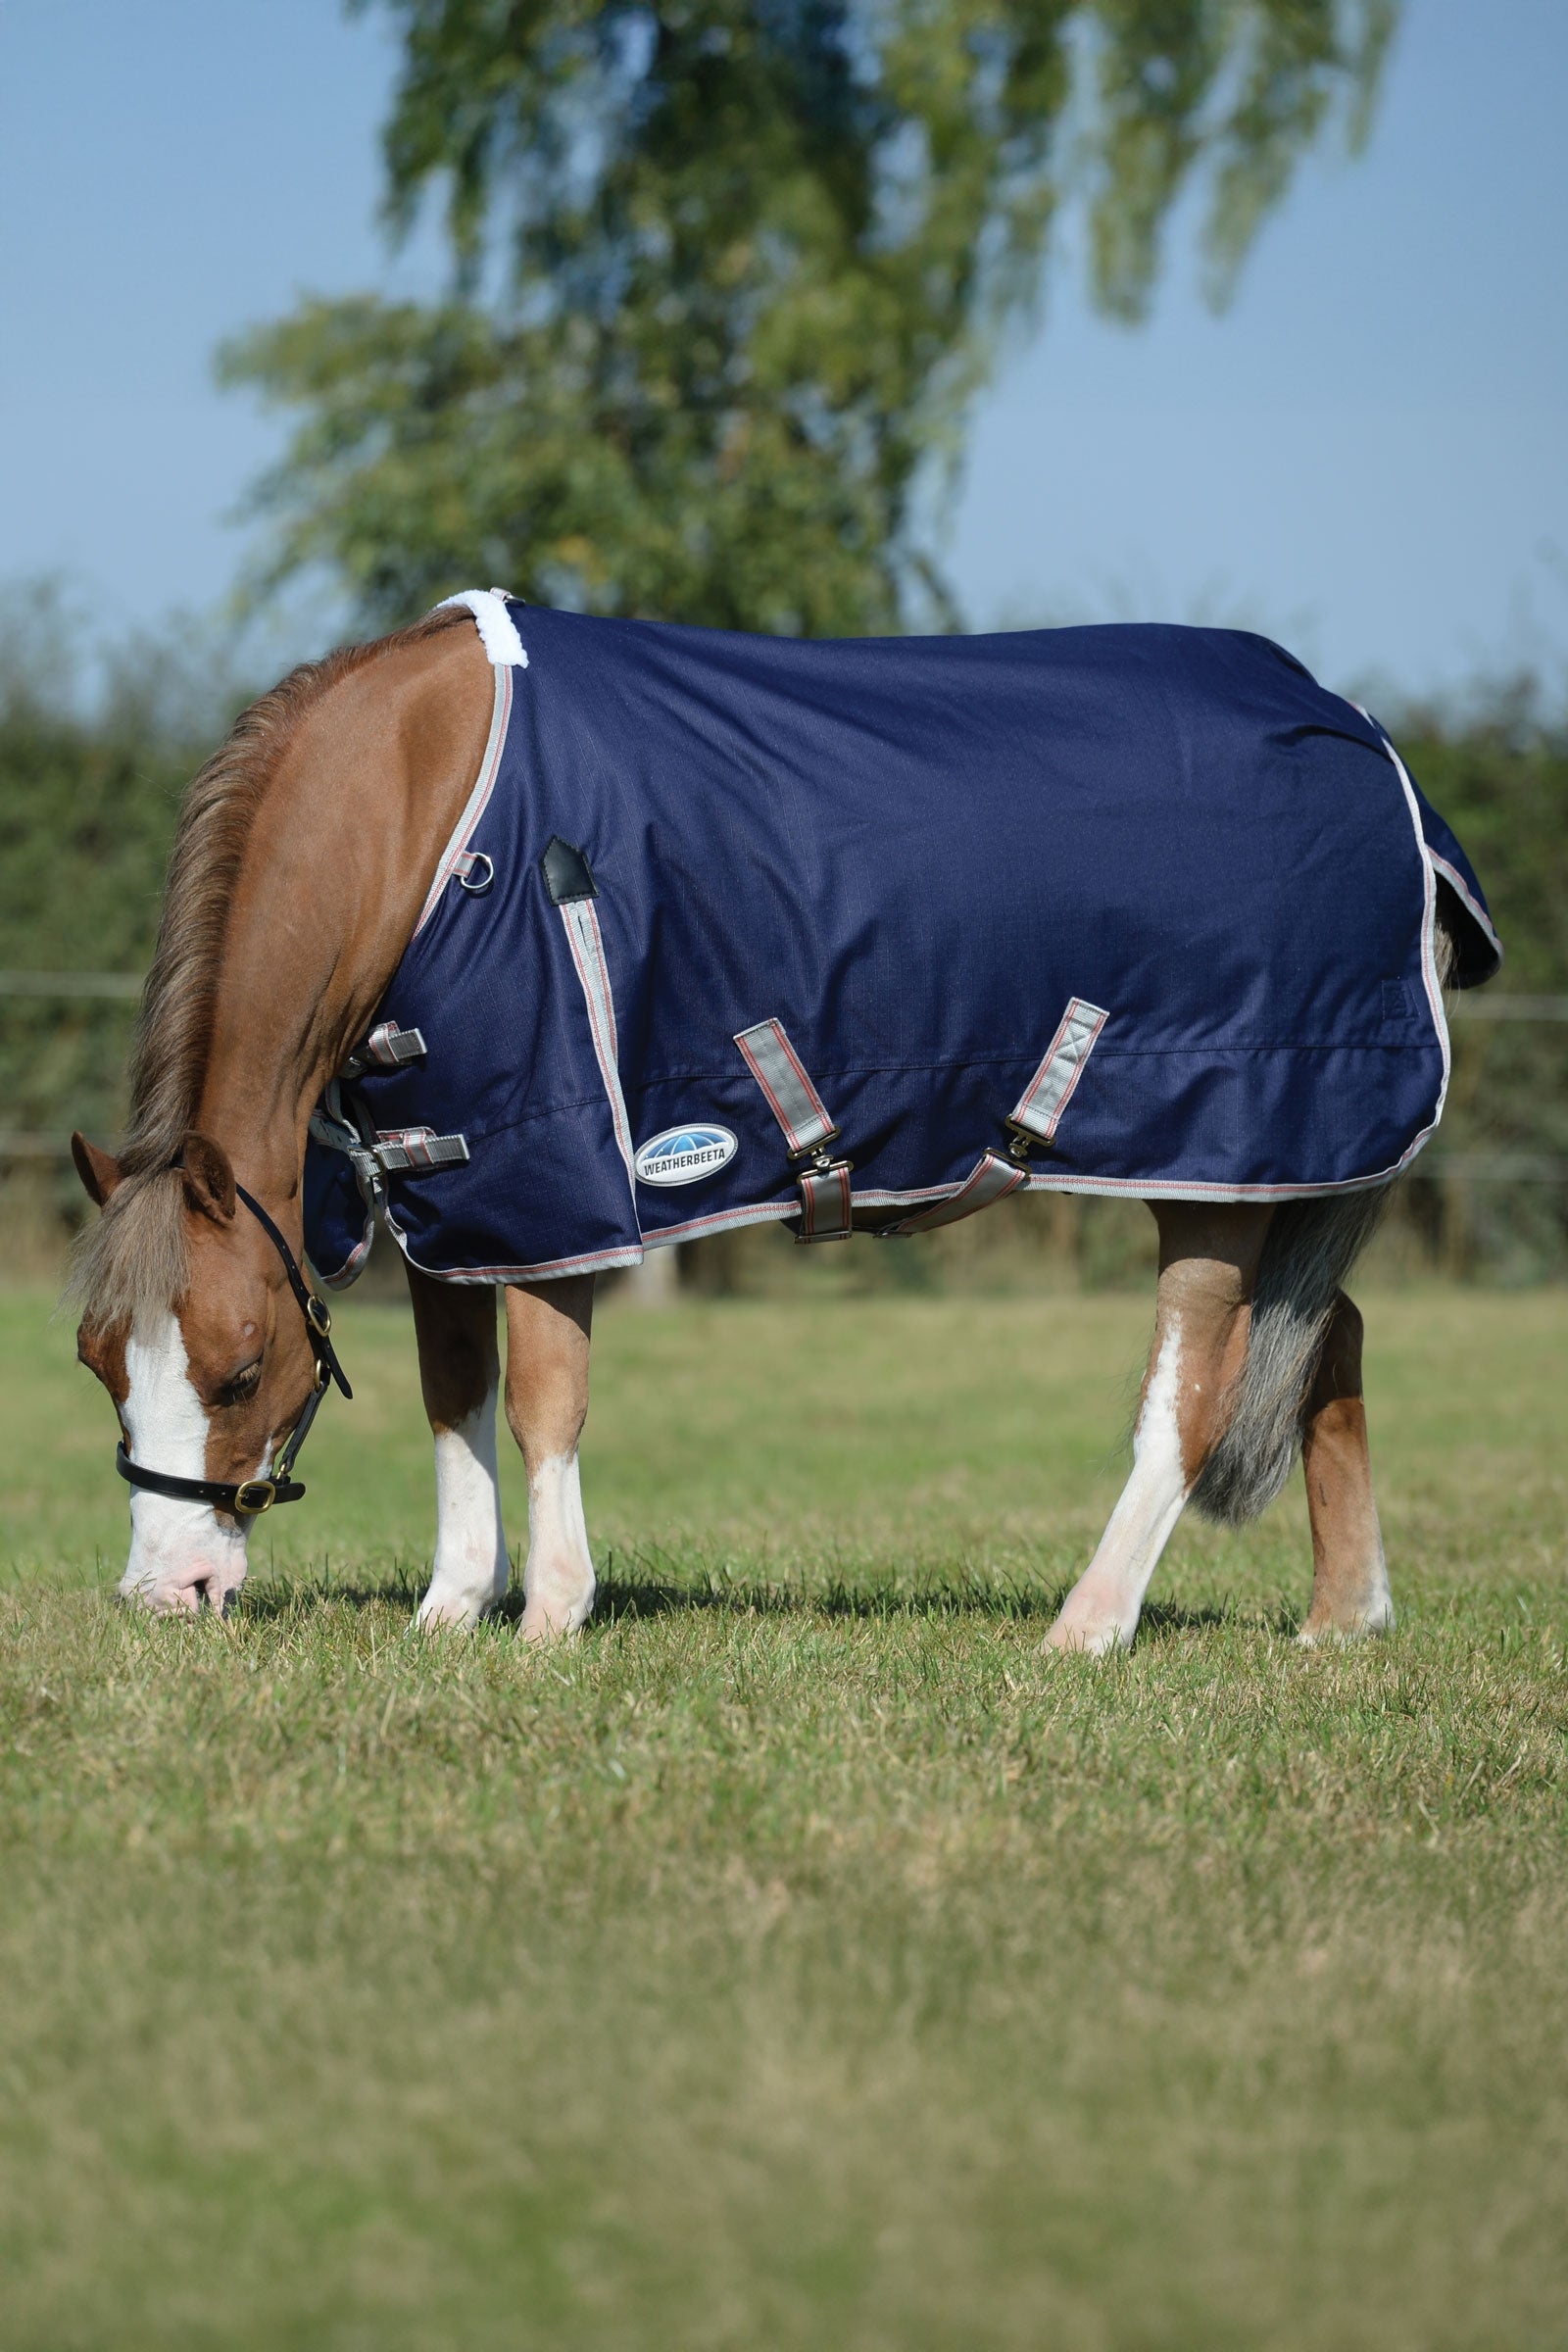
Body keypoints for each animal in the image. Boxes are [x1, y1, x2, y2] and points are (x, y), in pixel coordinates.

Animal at [69, 593, 1499, 1647]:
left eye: (240, 1371)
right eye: (97, 1364)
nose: (166, 1595)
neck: (423, 818)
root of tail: (1367, 747)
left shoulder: (557, 1172)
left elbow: (541, 1398)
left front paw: (551, 1617)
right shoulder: (452, 1185)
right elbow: (452, 1395)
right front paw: (450, 1610)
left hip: (1220, 1157)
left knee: (1195, 1393)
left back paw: (1090, 1625)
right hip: (1279, 1178)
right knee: (1325, 1342)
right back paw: (1340, 1621)